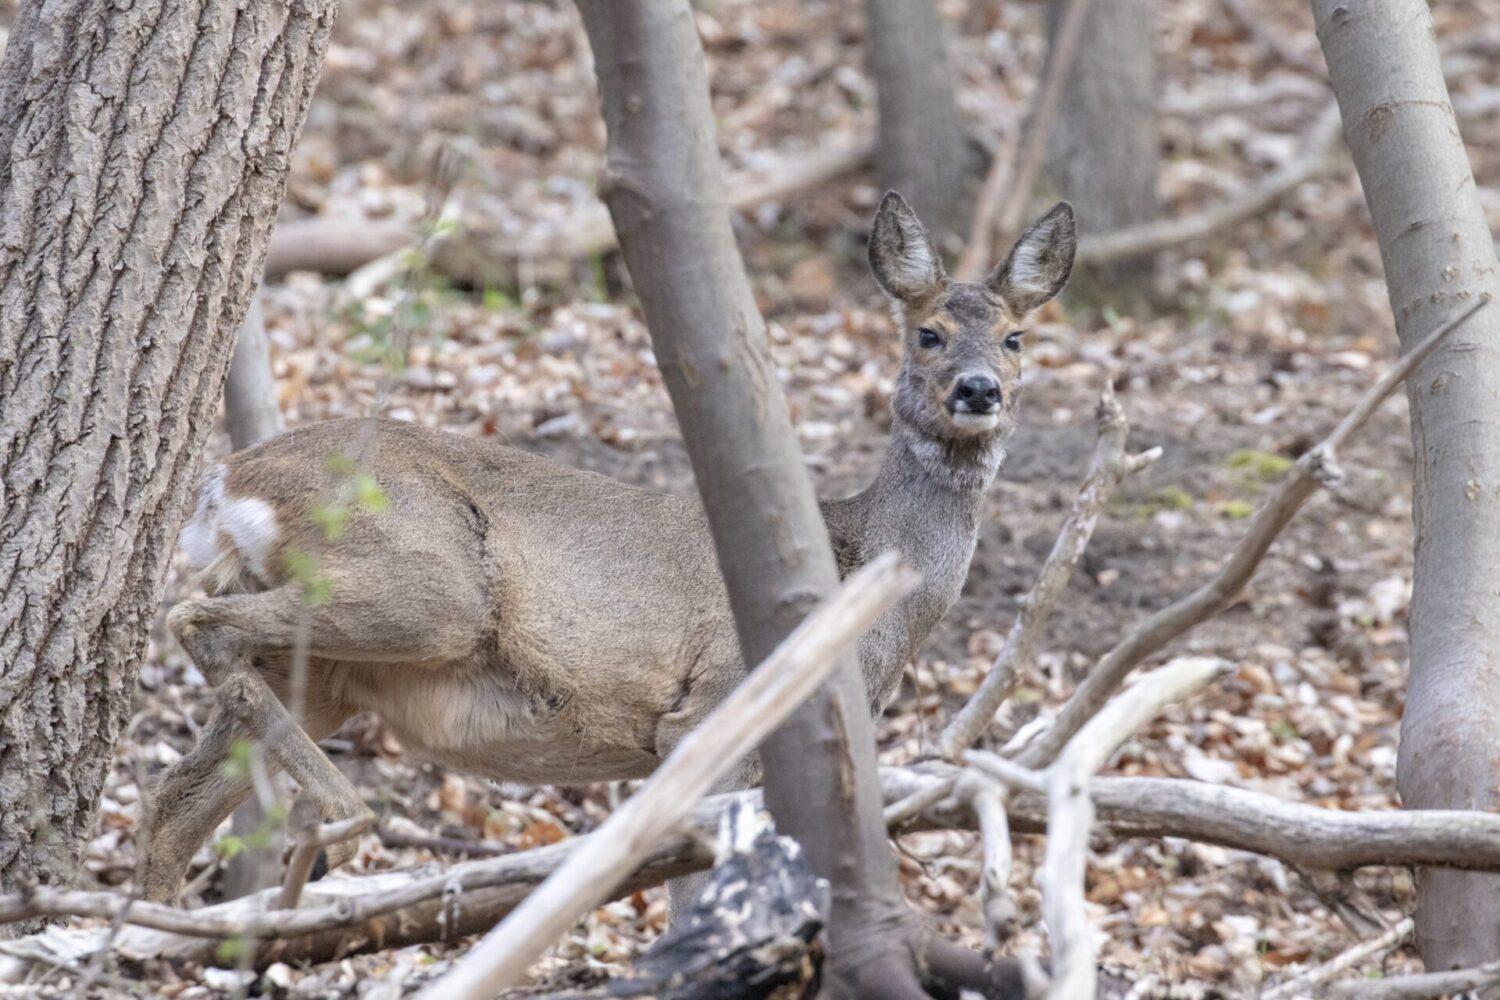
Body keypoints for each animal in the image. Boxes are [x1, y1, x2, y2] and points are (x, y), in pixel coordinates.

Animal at [141, 193, 1080, 899]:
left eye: (1016, 338)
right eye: (926, 333)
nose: (979, 389)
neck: (860, 567)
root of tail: (228, 481)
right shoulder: (710, 706)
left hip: (322, 673)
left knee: (171, 801)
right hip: (427, 593)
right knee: (194, 623)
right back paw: (342, 820)